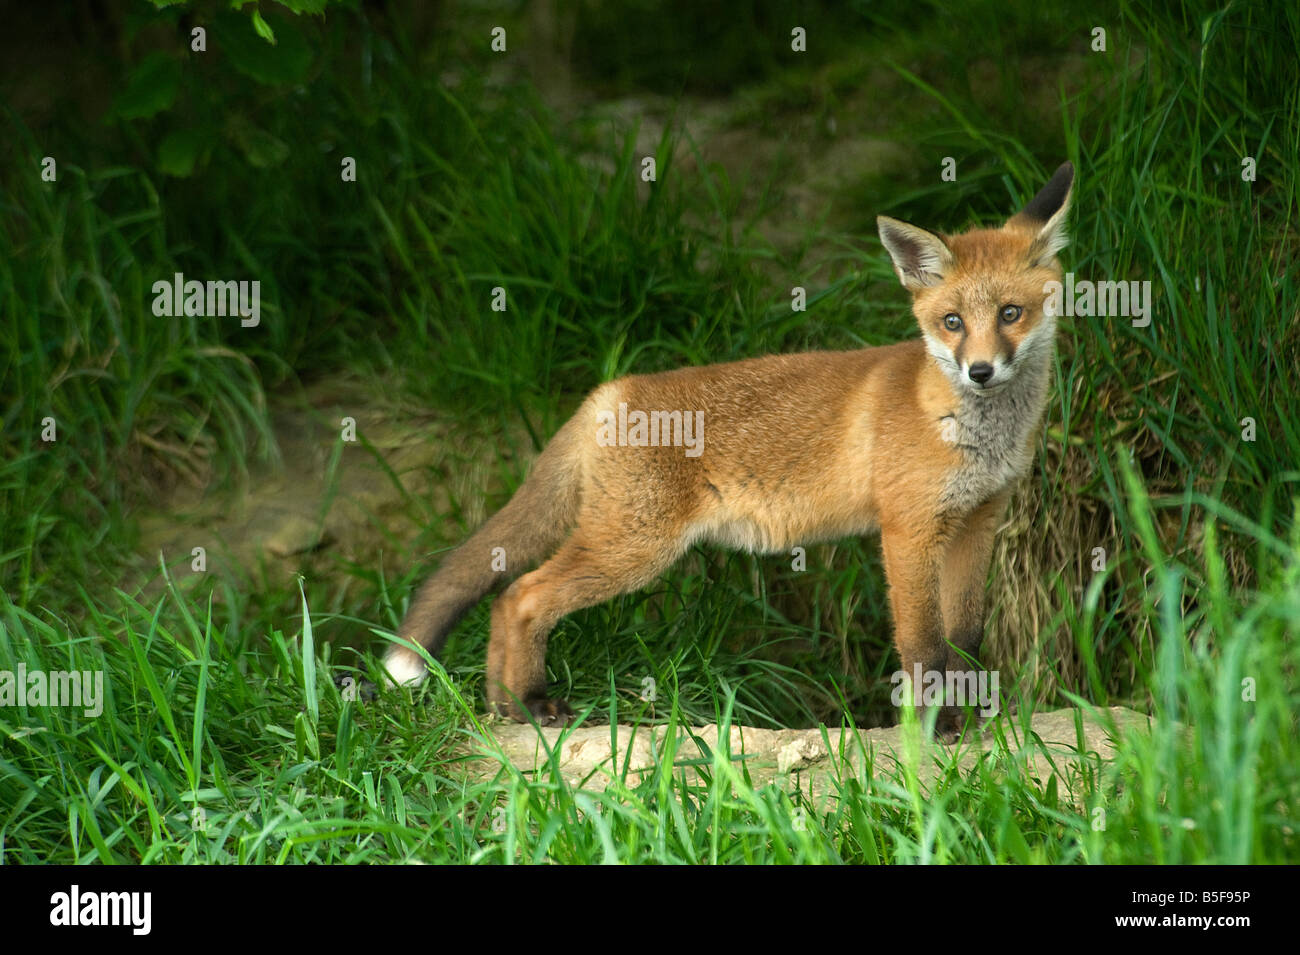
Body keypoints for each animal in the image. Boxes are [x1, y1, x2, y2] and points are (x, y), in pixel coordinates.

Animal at [385, 161, 1074, 739]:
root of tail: (610, 389)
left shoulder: (977, 522)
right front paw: (935, 728)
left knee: (504, 599)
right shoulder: (908, 531)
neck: (972, 432)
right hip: (635, 549)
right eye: (952, 322)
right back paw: (530, 703)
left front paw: (972, 717)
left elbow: (966, 638)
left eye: (1010, 313)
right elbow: (925, 648)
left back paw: (502, 711)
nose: (980, 371)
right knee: (521, 596)